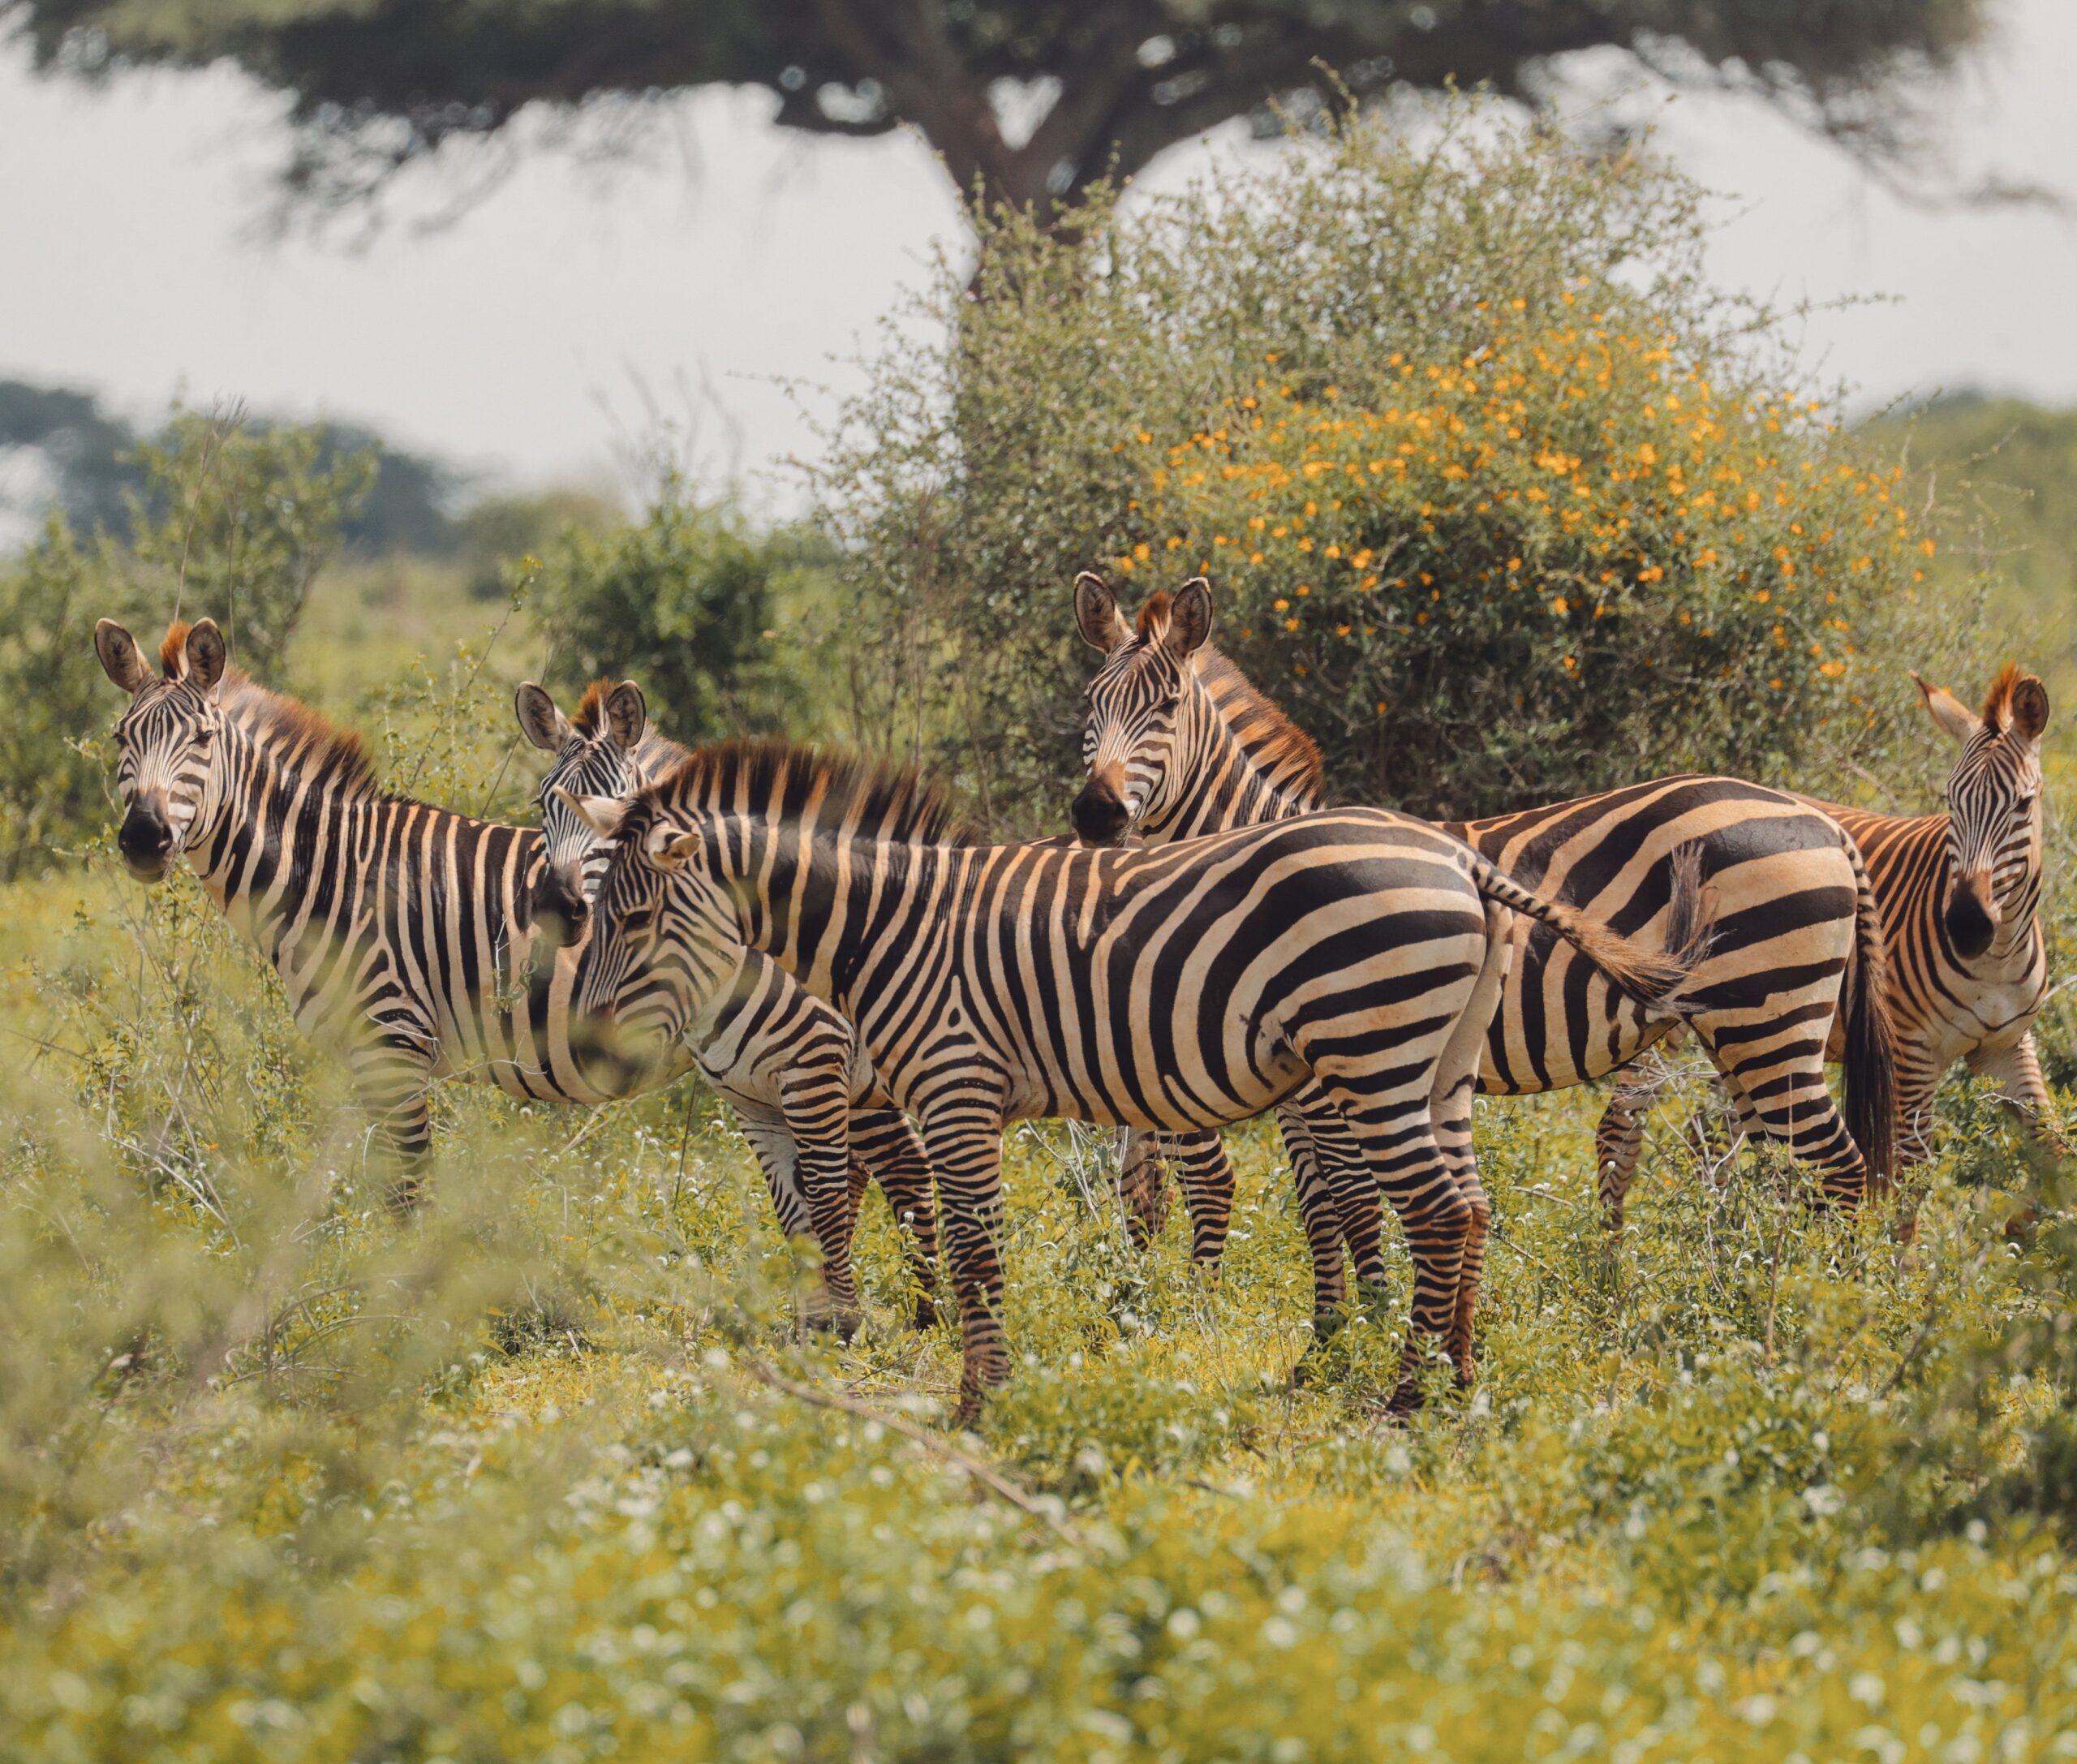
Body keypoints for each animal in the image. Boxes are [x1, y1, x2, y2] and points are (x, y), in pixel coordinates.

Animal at [89, 616, 874, 1330]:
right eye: (121, 740)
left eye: (200, 742)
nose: (144, 839)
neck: (331, 874)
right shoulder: (365, 1060)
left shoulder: (396, 1045)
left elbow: (409, 1194)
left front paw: (407, 1322)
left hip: (804, 1047)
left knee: (834, 1185)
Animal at [515, 677, 942, 1330]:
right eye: (545, 804)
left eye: (618, 808)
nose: (558, 908)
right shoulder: (748, 1094)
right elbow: (792, 1209)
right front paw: (811, 1327)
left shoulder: (816, 1068)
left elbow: (822, 1196)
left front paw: (841, 1325)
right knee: (903, 1166)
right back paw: (926, 1313)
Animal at [565, 740, 1705, 1415]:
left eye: (632, 915)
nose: (586, 1043)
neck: (895, 928)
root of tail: (1458, 858)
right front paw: (972, 1385)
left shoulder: (955, 1088)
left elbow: (973, 1249)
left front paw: (980, 1399)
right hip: (1441, 1064)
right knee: (1469, 1205)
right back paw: (1460, 1377)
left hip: (1374, 1052)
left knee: (1432, 1210)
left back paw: (1407, 1394)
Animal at [1068, 572, 1896, 1265]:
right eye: (1089, 706)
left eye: (1167, 709)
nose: (1095, 813)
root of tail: (1824, 822)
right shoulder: (1298, 1089)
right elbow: (1311, 1209)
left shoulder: (1333, 1076)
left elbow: (1345, 1204)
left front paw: (1351, 1335)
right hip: (1744, 1031)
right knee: (1781, 1167)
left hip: (1770, 1018)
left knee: (1838, 1169)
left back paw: (1831, 1304)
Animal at [1595, 665, 2058, 1199]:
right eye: (1950, 802)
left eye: (2024, 804)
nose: (1966, 926)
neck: (1997, 956)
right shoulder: (1911, 1057)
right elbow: (1910, 1184)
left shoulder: (2008, 1047)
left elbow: (2054, 1150)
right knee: (1619, 1126)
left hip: (1746, 1028)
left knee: (1711, 1138)